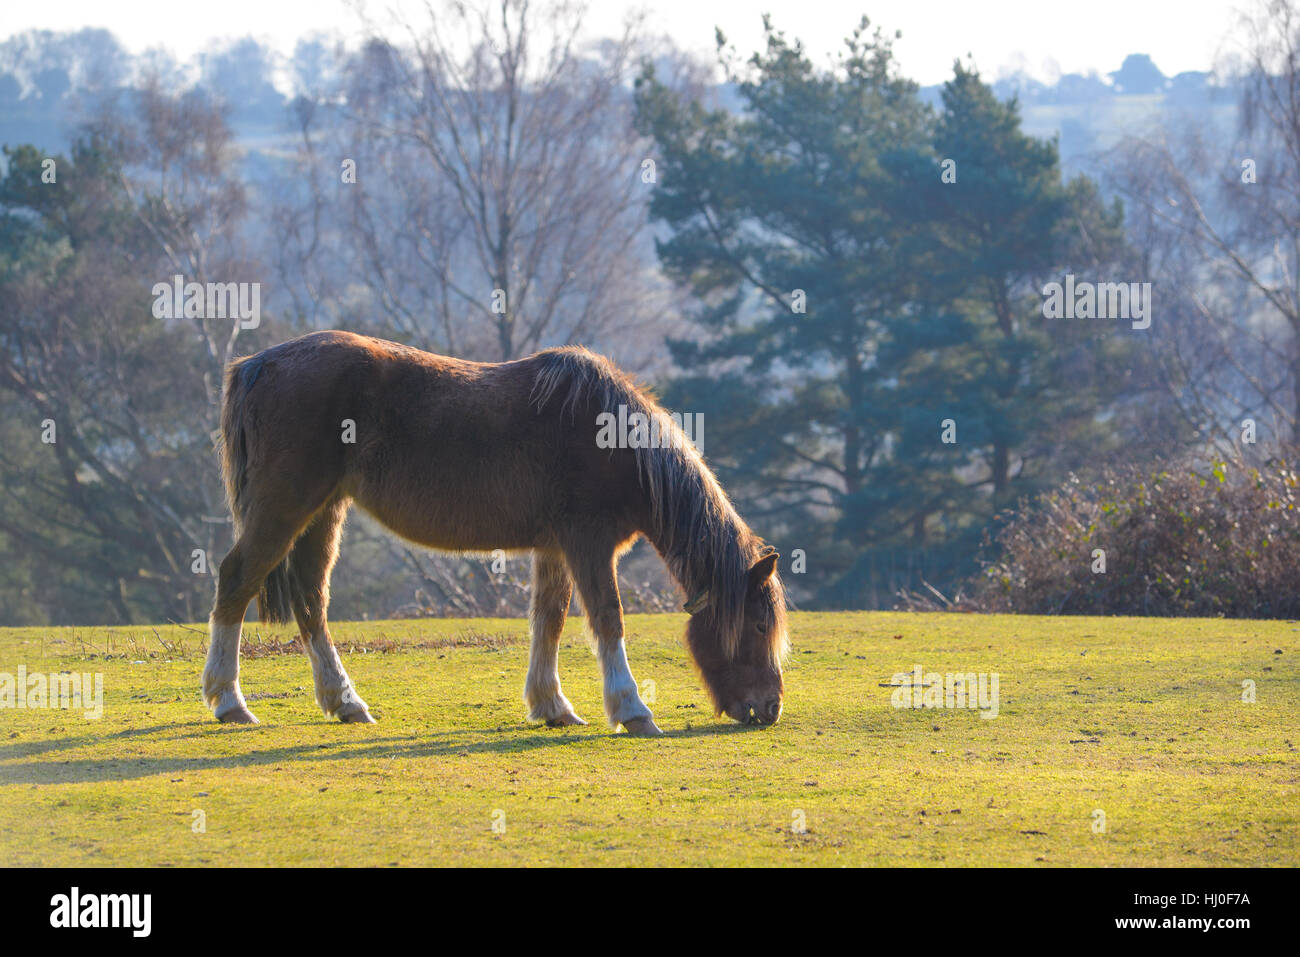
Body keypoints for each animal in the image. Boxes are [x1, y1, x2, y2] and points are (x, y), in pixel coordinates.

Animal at [198, 332, 785, 738]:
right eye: (758, 625)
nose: (771, 707)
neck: (609, 434)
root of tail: (257, 365)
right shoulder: (588, 544)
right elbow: (607, 619)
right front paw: (632, 710)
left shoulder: (555, 548)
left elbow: (549, 621)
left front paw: (552, 706)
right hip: (285, 507)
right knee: (236, 580)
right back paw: (230, 701)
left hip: (323, 512)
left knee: (311, 601)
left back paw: (345, 702)